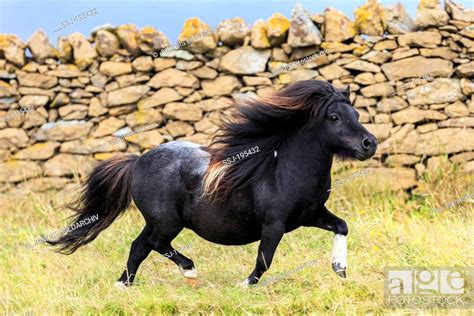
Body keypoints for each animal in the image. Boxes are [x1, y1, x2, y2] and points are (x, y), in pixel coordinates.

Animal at [48, 79, 378, 286]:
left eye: (356, 113)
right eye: (334, 117)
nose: (369, 144)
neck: (284, 170)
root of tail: (137, 161)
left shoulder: (311, 215)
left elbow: (342, 226)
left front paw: (340, 269)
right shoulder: (274, 224)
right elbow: (265, 259)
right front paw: (244, 285)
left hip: (155, 221)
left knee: (138, 247)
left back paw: (123, 286)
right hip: (168, 222)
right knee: (155, 244)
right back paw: (190, 271)